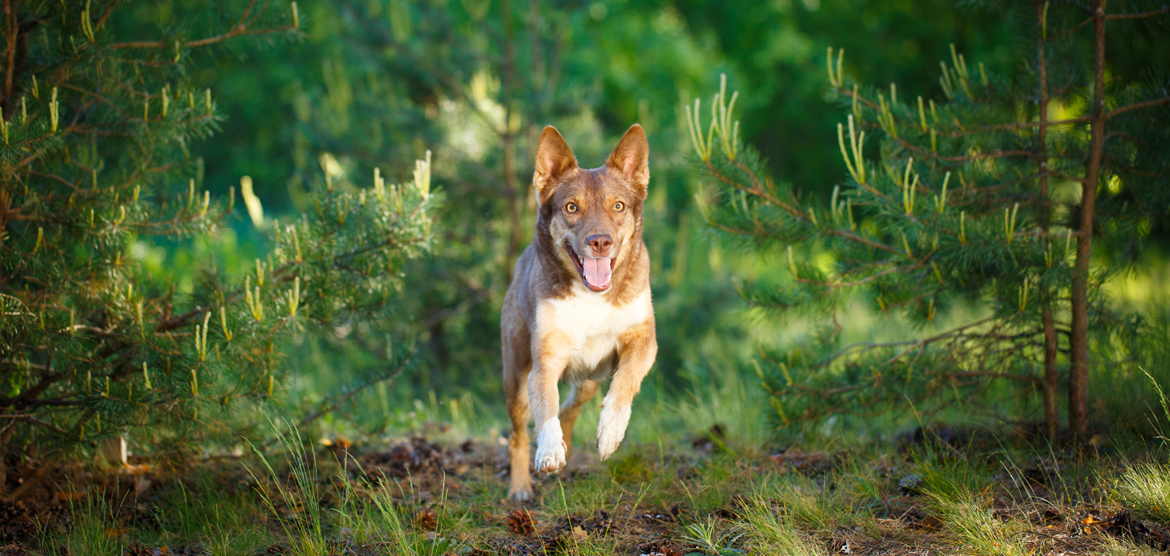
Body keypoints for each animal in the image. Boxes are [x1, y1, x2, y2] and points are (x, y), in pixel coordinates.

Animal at [500, 125, 659, 500]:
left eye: (618, 206)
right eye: (571, 207)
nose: (600, 242)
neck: (593, 298)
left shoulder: (644, 340)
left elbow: (626, 380)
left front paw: (611, 431)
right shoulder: (545, 360)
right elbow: (546, 407)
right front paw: (549, 451)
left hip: (589, 377)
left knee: (572, 407)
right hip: (515, 375)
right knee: (519, 432)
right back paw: (521, 487)